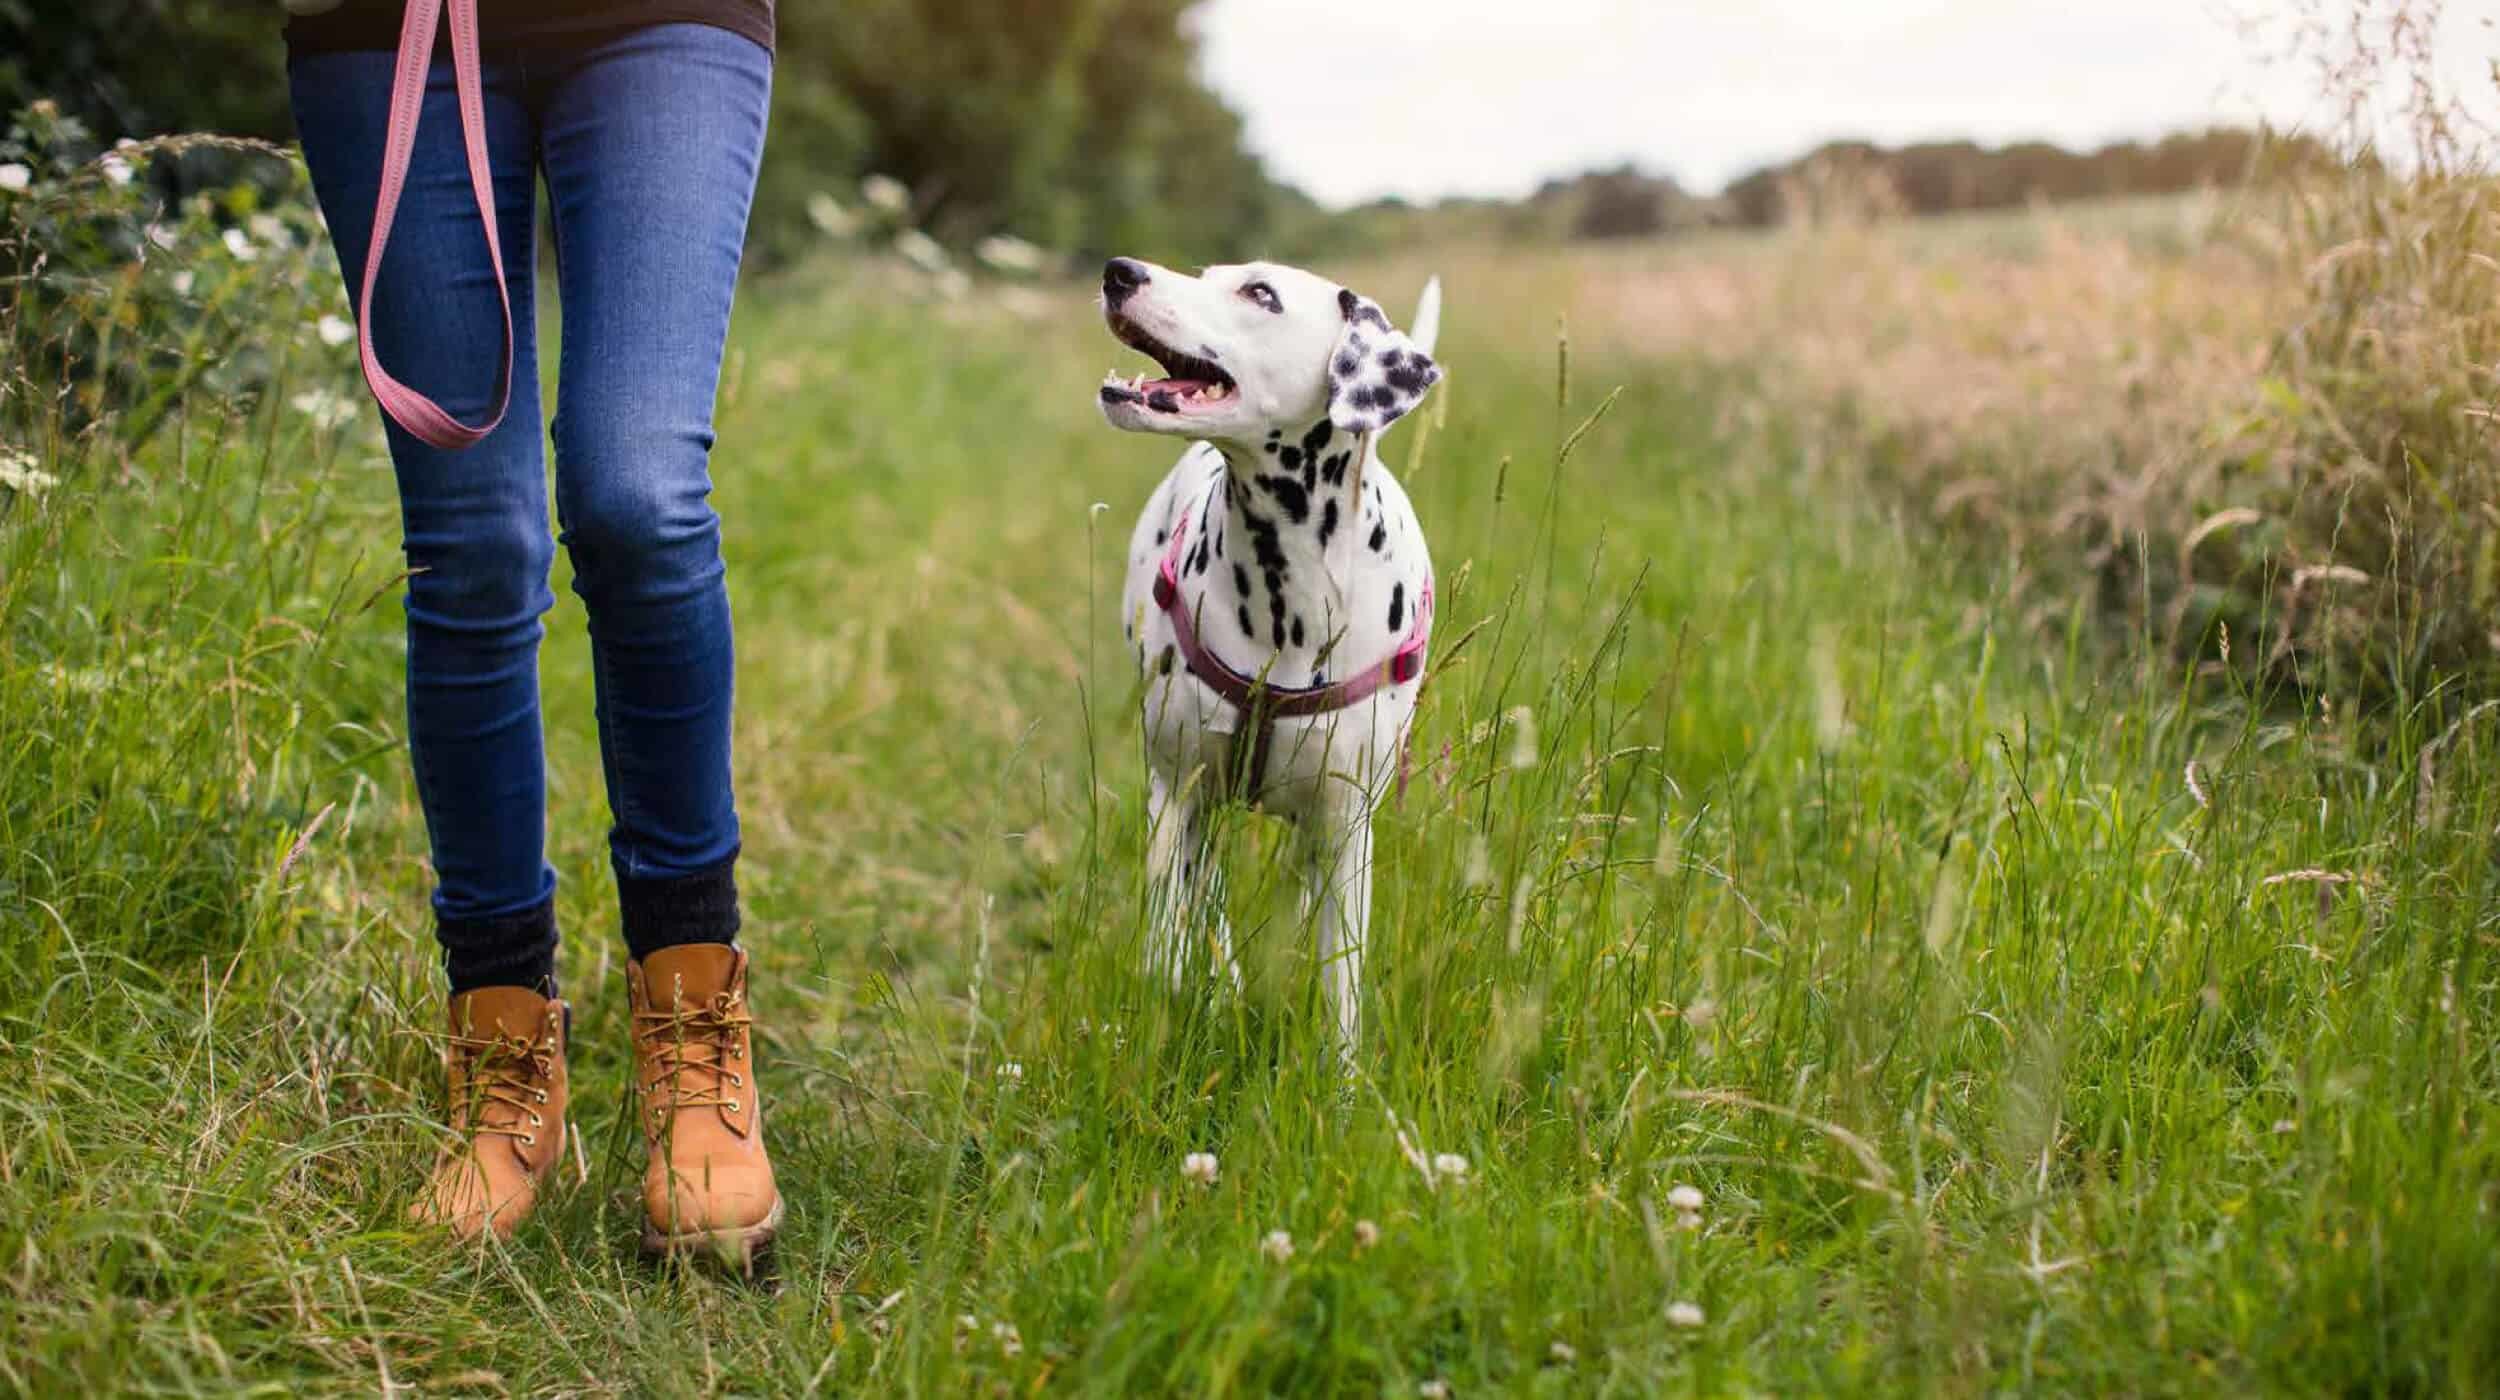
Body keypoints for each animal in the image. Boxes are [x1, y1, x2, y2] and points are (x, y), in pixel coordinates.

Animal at [1100, 257, 1440, 1055]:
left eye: (1260, 294)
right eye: (1207, 274)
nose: (1120, 271)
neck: (1289, 597)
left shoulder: (1347, 833)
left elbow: (1342, 989)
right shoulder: (1177, 793)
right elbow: (1169, 939)